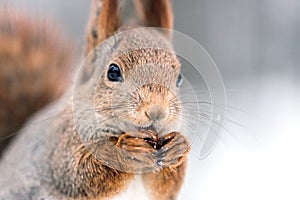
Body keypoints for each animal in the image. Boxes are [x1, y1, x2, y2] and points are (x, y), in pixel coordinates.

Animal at [0, 0, 191, 199]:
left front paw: (177, 148)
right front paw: (126, 152)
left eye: (179, 78)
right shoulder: (61, 145)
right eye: (113, 72)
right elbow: (78, 173)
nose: (157, 111)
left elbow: (164, 188)